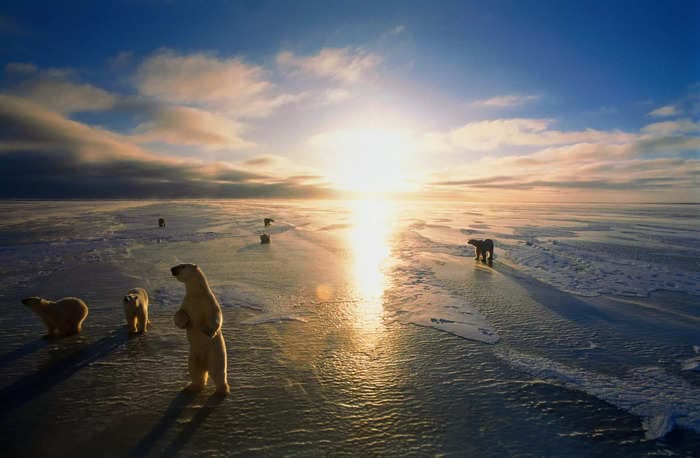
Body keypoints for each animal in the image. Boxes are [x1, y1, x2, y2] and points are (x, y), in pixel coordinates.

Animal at [171, 262, 231, 396]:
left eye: (182, 266)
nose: (172, 269)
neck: (197, 295)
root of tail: (205, 364)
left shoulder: (210, 302)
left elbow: (216, 316)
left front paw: (208, 331)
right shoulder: (187, 303)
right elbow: (180, 314)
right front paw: (183, 321)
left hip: (216, 353)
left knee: (218, 370)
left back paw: (222, 390)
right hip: (193, 355)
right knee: (196, 371)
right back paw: (190, 387)